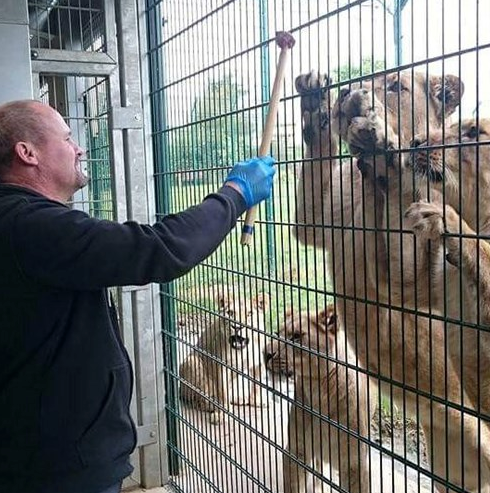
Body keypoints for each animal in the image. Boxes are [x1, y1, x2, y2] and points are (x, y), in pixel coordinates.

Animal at [180, 292, 270, 422]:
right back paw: (213, 406)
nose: (237, 327)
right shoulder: (220, 365)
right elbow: (223, 391)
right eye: (230, 312)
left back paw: (239, 399)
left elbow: (257, 385)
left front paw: (256, 402)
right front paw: (222, 413)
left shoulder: (258, 363)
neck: (243, 350)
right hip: (192, 361)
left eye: (249, 314)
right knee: (199, 401)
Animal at [264, 304, 372, 492]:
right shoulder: (296, 450)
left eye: (296, 336)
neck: (318, 392)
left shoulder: (355, 465)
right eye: (277, 333)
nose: (265, 354)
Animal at [292, 71, 490, 490]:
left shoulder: (417, 256)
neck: (363, 188)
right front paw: (317, 100)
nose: (349, 93)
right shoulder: (316, 221)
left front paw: (379, 141)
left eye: (397, 87)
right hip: (450, 468)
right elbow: (319, 160)